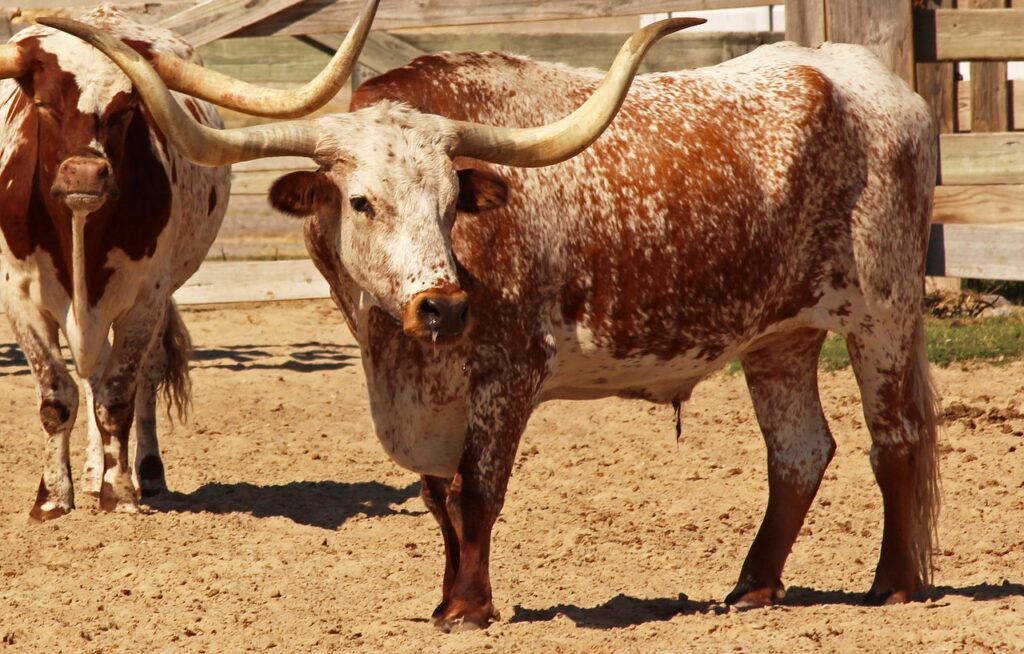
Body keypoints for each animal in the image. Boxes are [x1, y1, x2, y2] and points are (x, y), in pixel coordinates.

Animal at [1, 1, 375, 521]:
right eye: (41, 104)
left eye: (127, 110)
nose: (84, 175)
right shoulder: (19, 296)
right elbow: (58, 396)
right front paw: (54, 498)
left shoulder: (145, 299)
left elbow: (118, 396)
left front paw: (120, 492)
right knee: (91, 375)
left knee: (141, 376)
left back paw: (144, 473)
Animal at [53, 19, 940, 631]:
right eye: (362, 201)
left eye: (454, 202)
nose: (442, 306)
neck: (398, 351)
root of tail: (870, 79)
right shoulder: (423, 396)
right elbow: (438, 498)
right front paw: (447, 598)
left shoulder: (507, 378)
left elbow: (477, 494)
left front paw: (471, 608)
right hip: (779, 338)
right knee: (800, 454)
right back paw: (752, 589)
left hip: (884, 309)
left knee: (893, 439)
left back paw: (893, 585)